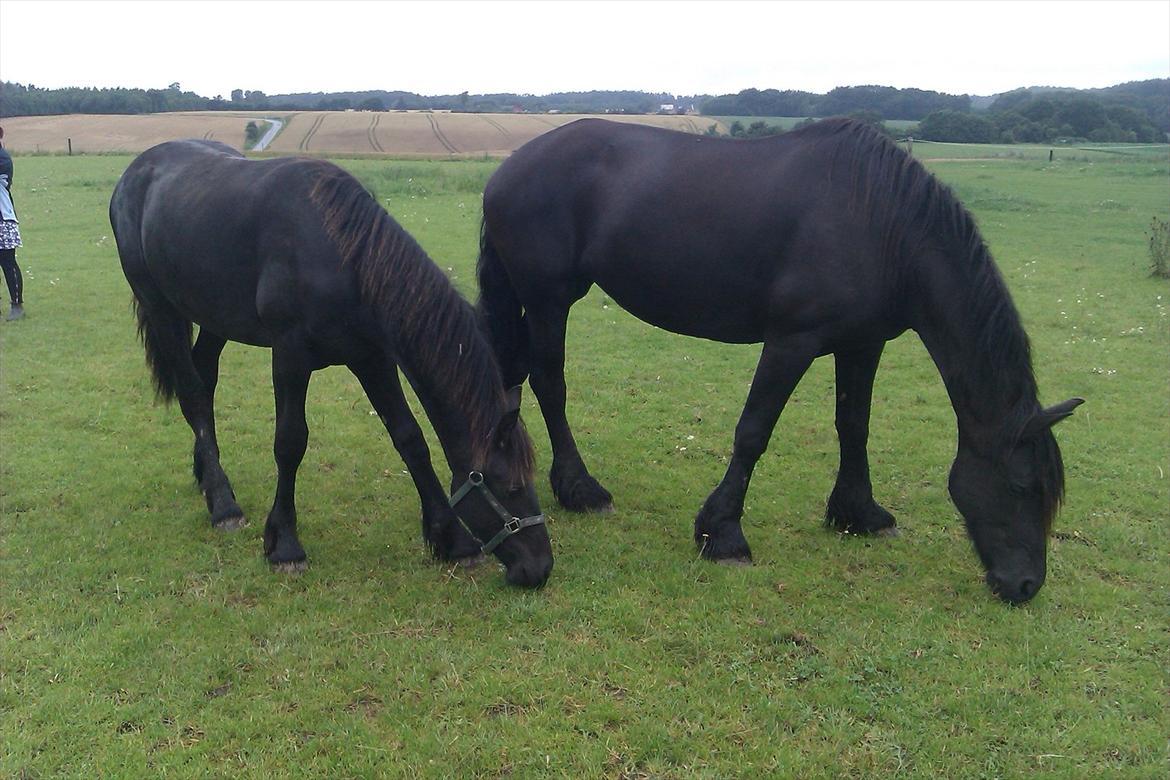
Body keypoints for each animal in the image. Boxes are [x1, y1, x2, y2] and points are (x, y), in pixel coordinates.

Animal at [109, 142, 547, 584]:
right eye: (510, 486)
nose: (539, 568)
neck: (340, 256)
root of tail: (137, 170)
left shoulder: (372, 358)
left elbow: (410, 438)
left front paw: (453, 540)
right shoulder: (289, 355)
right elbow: (289, 442)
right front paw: (284, 545)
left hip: (216, 317)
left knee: (206, 377)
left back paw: (205, 475)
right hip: (161, 309)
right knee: (194, 394)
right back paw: (223, 504)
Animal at [479, 117, 1081, 603]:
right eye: (1023, 488)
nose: (1025, 584)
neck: (882, 224)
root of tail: (509, 168)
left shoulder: (862, 344)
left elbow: (853, 425)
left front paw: (859, 513)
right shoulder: (793, 341)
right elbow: (754, 432)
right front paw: (722, 534)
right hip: (550, 299)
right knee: (549, 384)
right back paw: (581, 490)